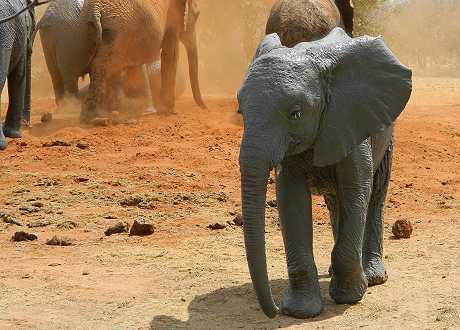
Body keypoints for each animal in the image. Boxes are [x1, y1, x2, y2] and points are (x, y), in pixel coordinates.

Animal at [239, 0, 412, 320]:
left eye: (295, 114)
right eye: (241, 111)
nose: (274, 310)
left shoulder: (350, 119)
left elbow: (357, 189)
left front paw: (350, 297)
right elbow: (291, 198)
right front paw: (301, 311)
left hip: (387, 131)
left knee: (374, 194)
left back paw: (373, 277)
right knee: (337, 202)